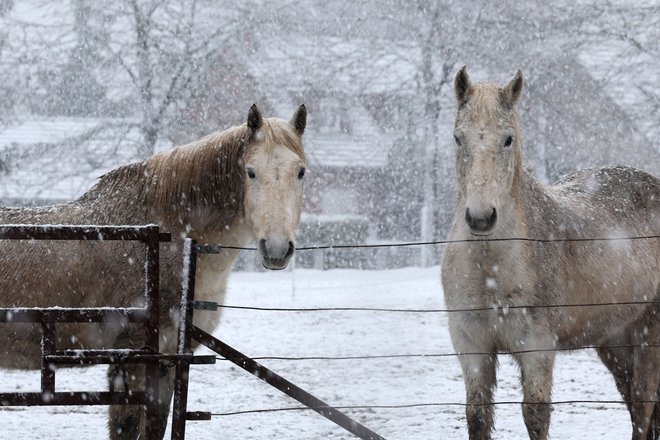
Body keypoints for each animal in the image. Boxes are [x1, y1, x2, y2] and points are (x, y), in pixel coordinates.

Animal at [0, 105, 310, 438]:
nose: (277, 249)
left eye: (301, 172)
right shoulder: (132, 359)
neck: (169, 235)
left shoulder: (166, 361)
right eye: (250, 172)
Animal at [440, 66, 656, 440]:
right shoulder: (471, 345)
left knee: (643, 408)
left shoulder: (537, 347)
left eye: (508, 139)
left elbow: (535, 415)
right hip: (615, 340)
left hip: (649, 336)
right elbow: (477, 415)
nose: (480, 218)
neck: (490, 271)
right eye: (458, 138)